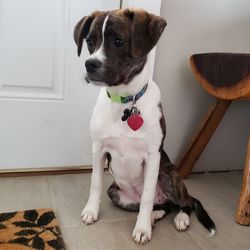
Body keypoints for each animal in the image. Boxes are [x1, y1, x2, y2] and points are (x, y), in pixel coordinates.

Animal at [73, 7, 216, 244]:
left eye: (119, 41)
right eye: (90, 41)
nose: (90, 64)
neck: (125, 100)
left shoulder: (153, 156)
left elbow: (148, 196)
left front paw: (142, 229)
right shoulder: (98, 149)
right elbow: (95, 182)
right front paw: (91, 211)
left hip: (168, 175)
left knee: (183, 203)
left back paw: (179, 218)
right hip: (116, 193)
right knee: (163, 206)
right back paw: (154, 216)